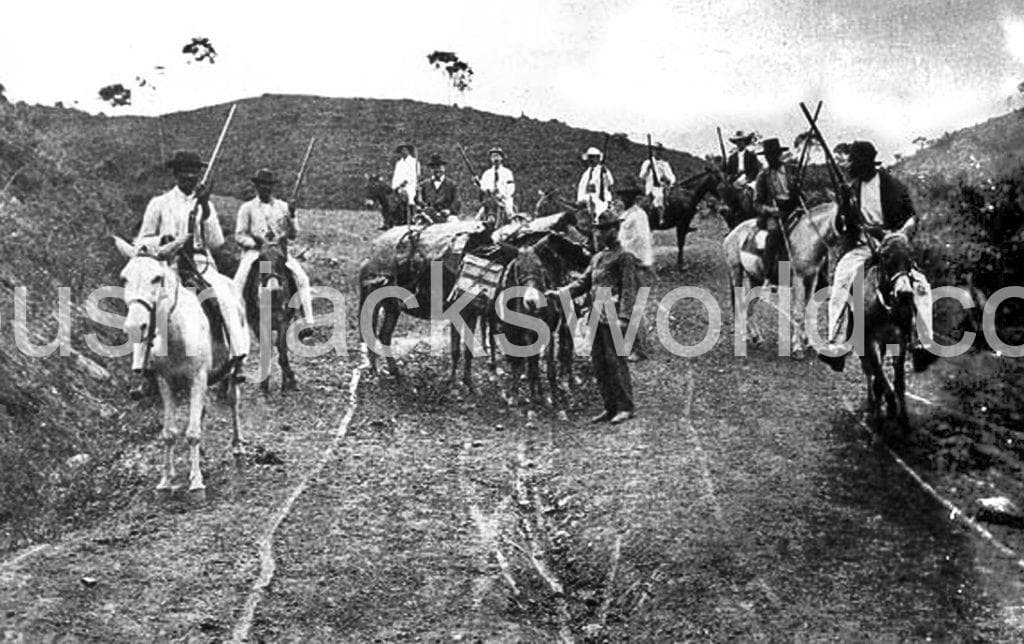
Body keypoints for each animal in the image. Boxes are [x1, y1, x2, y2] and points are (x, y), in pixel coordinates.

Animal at [115, 233, 244, 499]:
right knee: (202, 412)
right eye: (125, 277)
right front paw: (166, 480)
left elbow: (192, 433)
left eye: (156, 278)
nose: (134, 327)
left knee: (232, 399)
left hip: (232, 368)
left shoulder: (197, 378)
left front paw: (196, 483)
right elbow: (169, 433)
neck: (176, 335)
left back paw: (237, 445)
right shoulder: (166, 383)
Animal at [242, 237, 299, 391]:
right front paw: (264, 383)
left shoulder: (283, 323)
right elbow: (267, 349)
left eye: (282, 258)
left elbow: (282, 351)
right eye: (261, 258)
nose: (273, 290)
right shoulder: (258, 325)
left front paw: (290, 381)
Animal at [724, 201, 835, 356]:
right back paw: (743, 335)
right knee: (739, 303)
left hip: (755, 279)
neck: (807, 237)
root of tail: (732, 233)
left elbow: (808, 310)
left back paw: (756, 337)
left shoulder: (812, 279)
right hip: (736, 273)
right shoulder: (798, 279)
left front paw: (808, 342)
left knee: (749, 304)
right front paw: (797, 347)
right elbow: (798, 313)